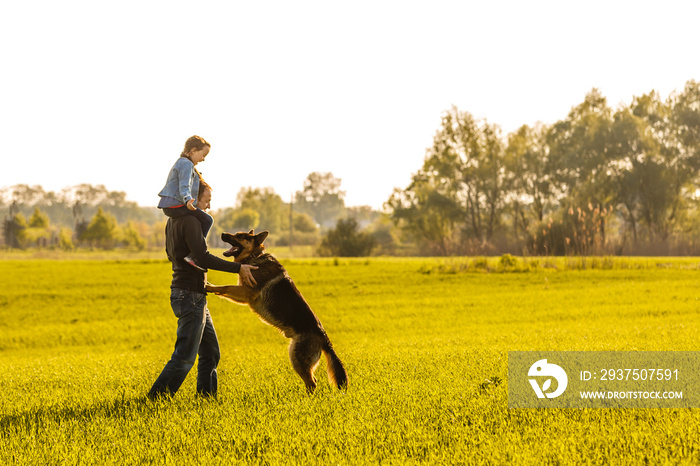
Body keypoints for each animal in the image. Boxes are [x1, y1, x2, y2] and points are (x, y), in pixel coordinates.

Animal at [206, 229, 350, 394]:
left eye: (240, 236)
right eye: (236, 233)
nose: (222, 234)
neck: (254, 256)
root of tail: (324, 338)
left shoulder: (247, 293)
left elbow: (225, 287)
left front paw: (208, 286)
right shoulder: (243, 294)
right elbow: (224, 289)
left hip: (297, 358)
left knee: (312, 383)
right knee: (312, 381)